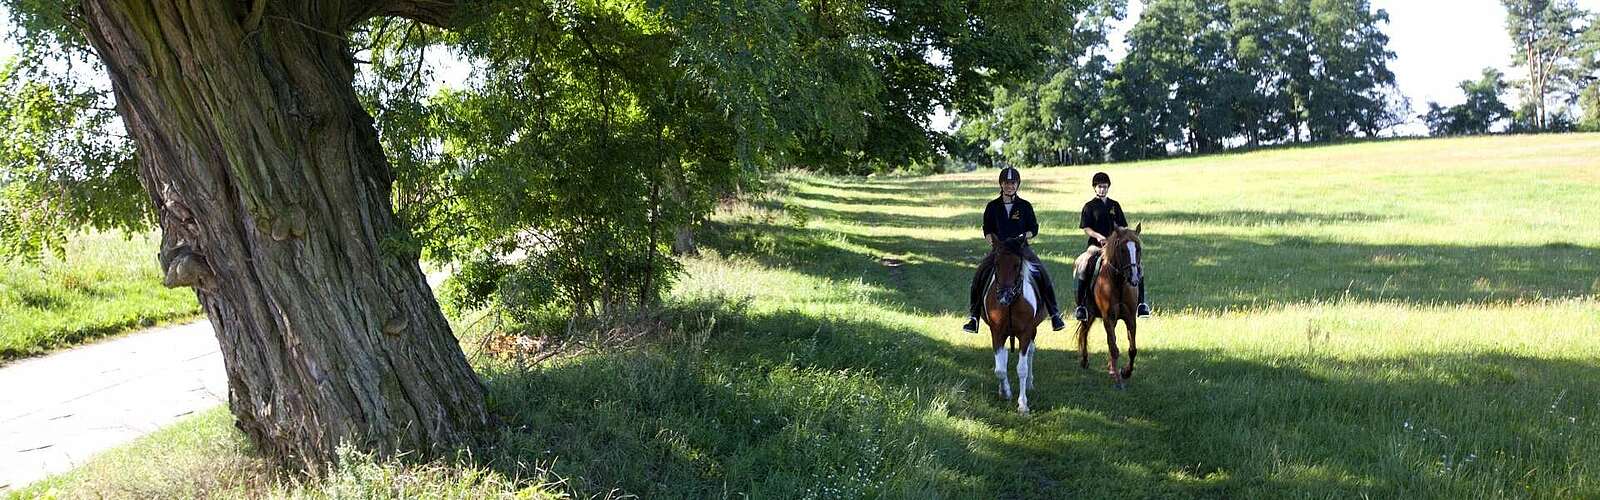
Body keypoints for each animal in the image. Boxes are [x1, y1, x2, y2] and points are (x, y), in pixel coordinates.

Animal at [985, 237, 1049, 413]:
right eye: (996, 263)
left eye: (1016, 264)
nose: (1004, 296)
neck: (1011, 304)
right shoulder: (997, 333)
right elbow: (1000, 369)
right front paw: (1005, 392)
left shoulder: (1026, 333)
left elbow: (1022, 369)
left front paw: (1023, 405)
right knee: (1004, 357)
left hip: (1033, 330)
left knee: (1031, 353)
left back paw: (1029, 384)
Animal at [1075, 224, 1139, 389]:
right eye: (1122, 249)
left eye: (1138, 248)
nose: (1134, 278)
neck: (1119, 284)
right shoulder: (1108, 318)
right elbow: (1114, 348)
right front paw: (1118, 378)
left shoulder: (1130, 318)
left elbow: (1132, 349)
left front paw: (1125, 372)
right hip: (1088, 314)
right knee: (1084, 333)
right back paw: (1085, 361)